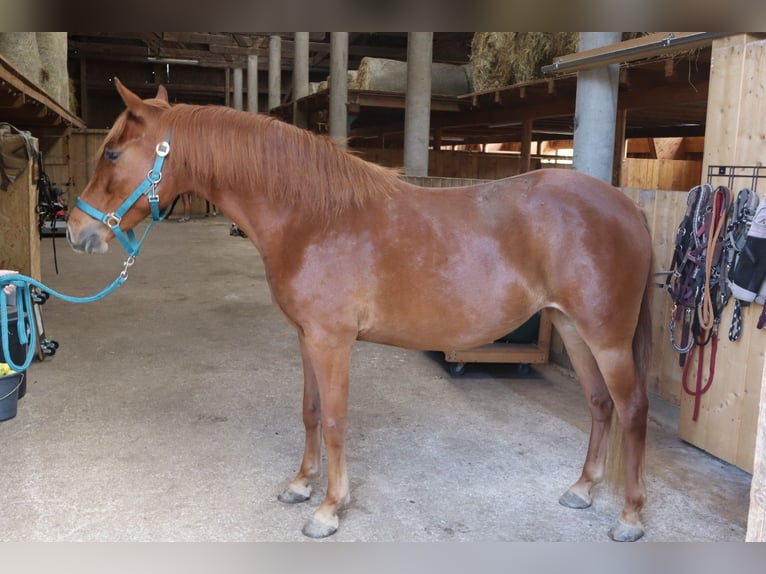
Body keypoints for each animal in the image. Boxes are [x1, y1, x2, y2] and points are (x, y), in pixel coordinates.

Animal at [66, 80, 654, 542]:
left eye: (112, 153)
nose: (76, 231)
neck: (313, 218)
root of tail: (627, 206)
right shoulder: (306, 337)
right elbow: (309, 411)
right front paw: (301, 485)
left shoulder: (332, 342)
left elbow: (334, 420)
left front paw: (329, 509)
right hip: (573, 329)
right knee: (600, 405)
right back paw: (582, 489)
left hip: (607, 338)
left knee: (631, 411)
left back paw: (629, 517)